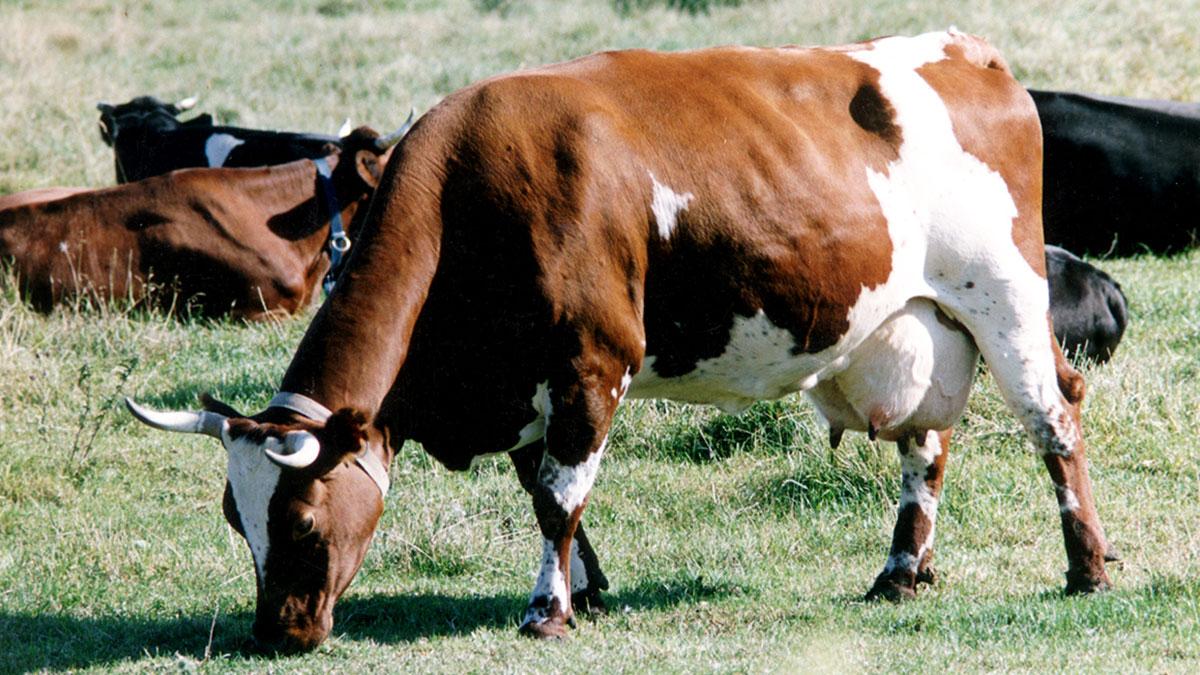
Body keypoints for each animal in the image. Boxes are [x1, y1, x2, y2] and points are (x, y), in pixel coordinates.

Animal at [126, 32, 1118, 653]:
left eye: (298, 518)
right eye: (236, 517)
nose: (276, 631)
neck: (468, 192)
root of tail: (964, 51)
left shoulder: (591, 361)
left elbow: (560, 493)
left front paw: (547, 610)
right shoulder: (524, 381)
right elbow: (540, 489)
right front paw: (586, 589)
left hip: (1005, 299)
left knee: (1054, 418)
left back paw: (1086, 568)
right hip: (915, 323)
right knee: (926, 444)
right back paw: (902, 570)